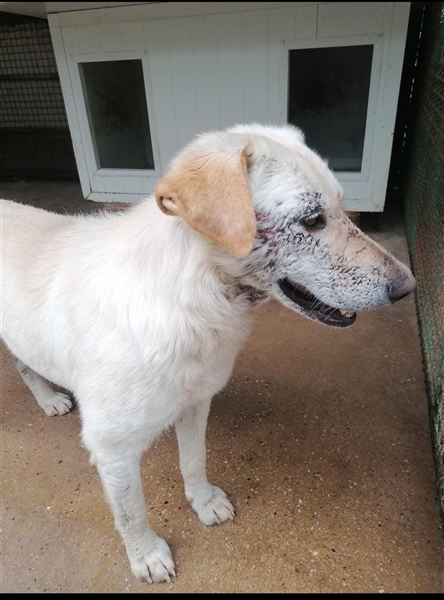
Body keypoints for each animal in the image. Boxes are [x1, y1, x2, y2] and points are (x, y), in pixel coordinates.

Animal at [1, 124, 416, 583]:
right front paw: (146, 556)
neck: (187, 302)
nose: (408, 287)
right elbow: (131, 513)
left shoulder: (196, 402)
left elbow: (194, 460)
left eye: (343, 206)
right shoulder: (112, 447)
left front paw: (203, 503)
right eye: (312, 219)